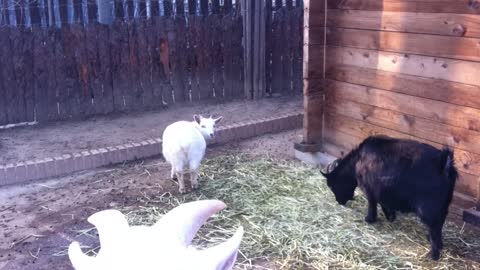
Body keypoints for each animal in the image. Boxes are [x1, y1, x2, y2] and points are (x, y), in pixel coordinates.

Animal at [320, 135, 460, 260]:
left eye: (331, 185)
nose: (339, 201)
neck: (359, 159)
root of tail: (444, 164)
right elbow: (384, 203)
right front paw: (390, 217)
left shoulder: (370, 189)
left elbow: (372, 203)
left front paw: (370, 219)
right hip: (443, 207)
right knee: (439, 225)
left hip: (429, 209)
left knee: (434, 226)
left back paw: (434, 254)